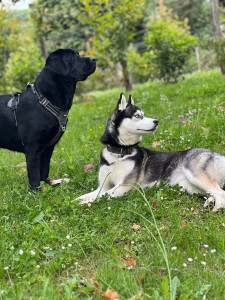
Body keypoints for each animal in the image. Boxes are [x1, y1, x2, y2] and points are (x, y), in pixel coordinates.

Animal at [0, 48, 96, 190]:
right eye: (72, 57)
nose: (94, 59)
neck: (45, 101)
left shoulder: (47, 148)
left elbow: (44, 170)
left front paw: (49, 186)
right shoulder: (32, 148)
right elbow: (34, 174)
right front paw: (37, 191)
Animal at [76, 93, 225, 211]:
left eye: (144, 115)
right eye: (138, 116)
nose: (156, 121)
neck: (118, 153)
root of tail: (219, 155)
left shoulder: (124, 186)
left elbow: (99, 197)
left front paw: (82, 205)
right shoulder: (104, 186)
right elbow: (86, 196)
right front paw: (74, 202)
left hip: (194, 173)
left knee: (221, 193)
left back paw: (216, 208)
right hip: (191, 186)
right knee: (214, 193)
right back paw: (210, 202)